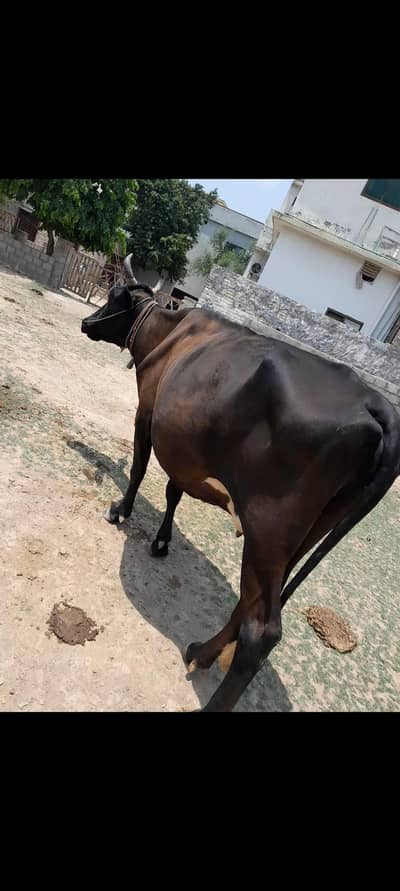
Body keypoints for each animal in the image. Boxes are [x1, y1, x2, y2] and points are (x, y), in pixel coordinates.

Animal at [81, 254, 400, 712]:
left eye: (112, 297)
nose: (86, 322)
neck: (171, 332)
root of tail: (375, 403)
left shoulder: (147, 413)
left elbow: (141, 469)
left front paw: (120, 511)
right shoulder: (189, 454)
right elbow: (174, 491)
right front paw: (161, 541)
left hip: (268, 525)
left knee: (261, 630)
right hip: (305, 532)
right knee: (253, 603)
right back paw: (202, 651)